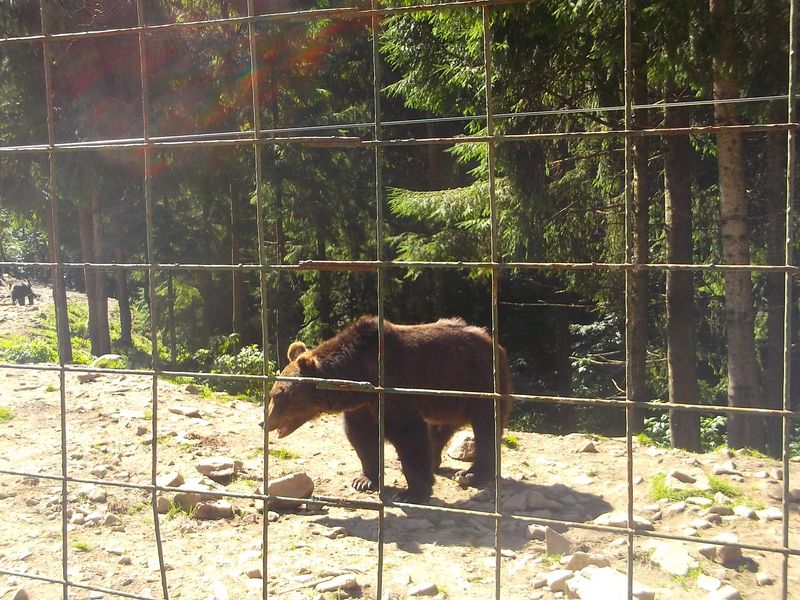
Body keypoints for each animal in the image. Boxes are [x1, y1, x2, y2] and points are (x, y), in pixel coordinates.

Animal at [267, 316, 513, 502]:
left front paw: (412, 492)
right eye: (272, 393)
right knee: (440, 429)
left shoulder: (392, 385)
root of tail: (494, 342)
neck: (356, 371)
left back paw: (472, 473)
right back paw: (434, 463)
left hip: (477, 380)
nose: (264, 422)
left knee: (485, 428)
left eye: (279, 395)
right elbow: (361, 436)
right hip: (446, 396)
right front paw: (364, 479)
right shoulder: (362, 405)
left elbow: (407, 433)